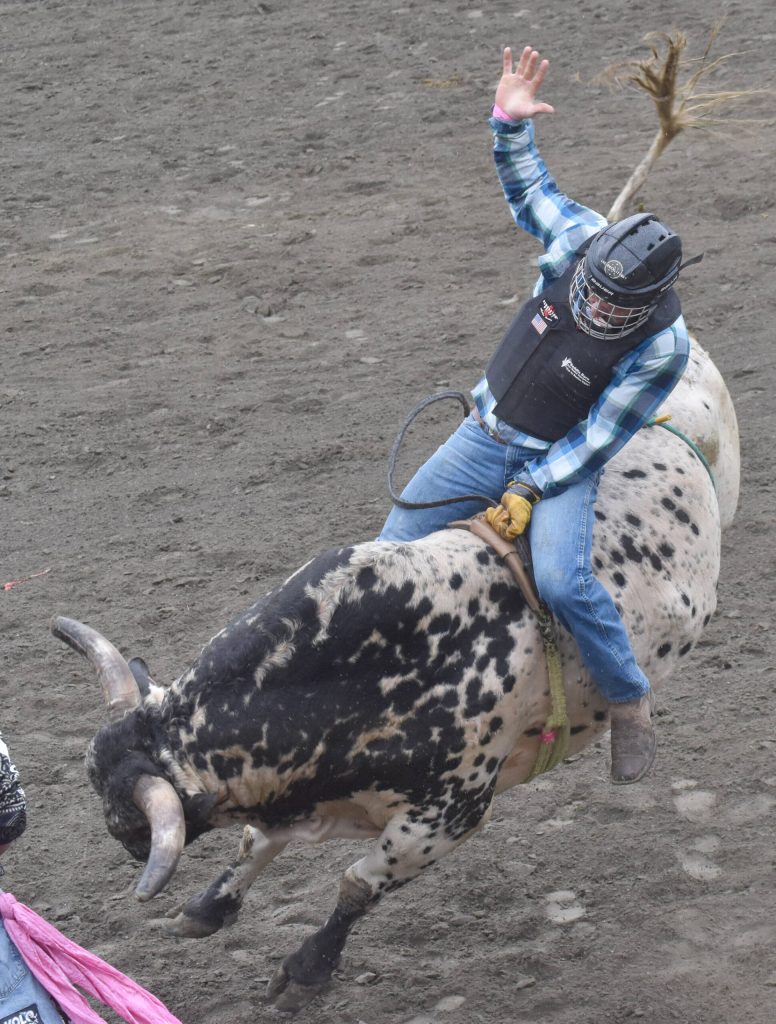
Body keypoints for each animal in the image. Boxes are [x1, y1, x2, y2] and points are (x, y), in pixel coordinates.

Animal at [52, 338, 738, 1013]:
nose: (123, 840)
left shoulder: (450, 814)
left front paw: (304, 972)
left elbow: (357, 885)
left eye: (134, 816)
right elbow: (256, 845)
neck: (376, 675)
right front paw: (206, 908)